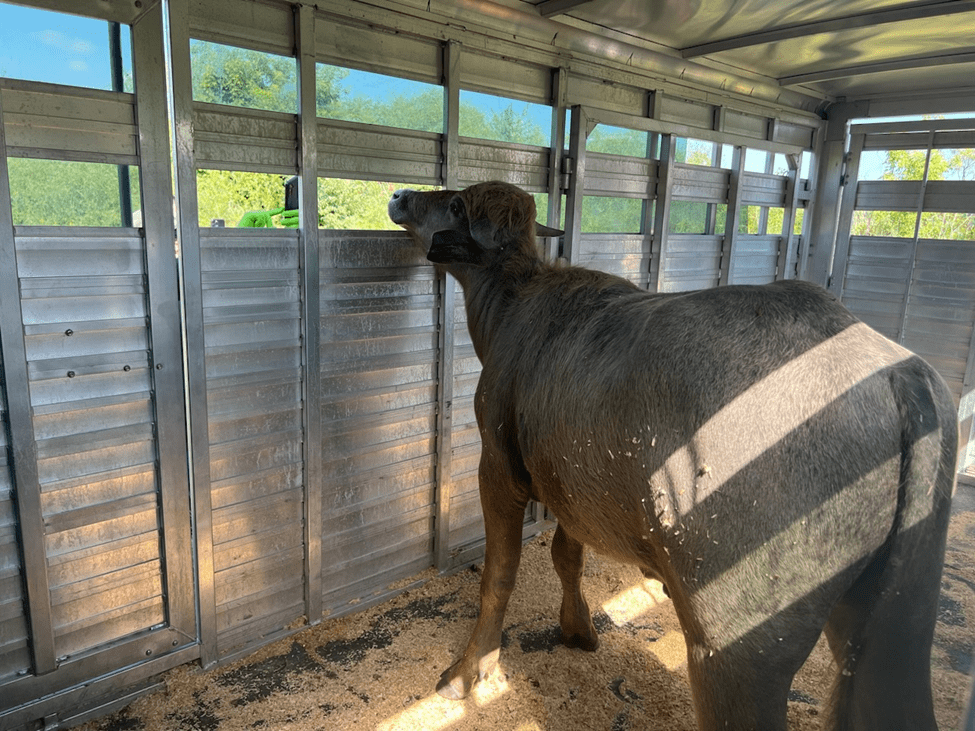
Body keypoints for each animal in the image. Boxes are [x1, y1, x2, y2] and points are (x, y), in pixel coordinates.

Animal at [386, 179, 952, 731]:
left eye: (455, 202)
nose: (399, 195)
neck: (512, 307)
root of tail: (899, 375)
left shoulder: (500, 467)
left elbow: (499, 575)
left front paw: (469, 671)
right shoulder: (572, 481)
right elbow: (567, 554)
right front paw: (578, 629)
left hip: (736, 649)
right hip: (892, 627)